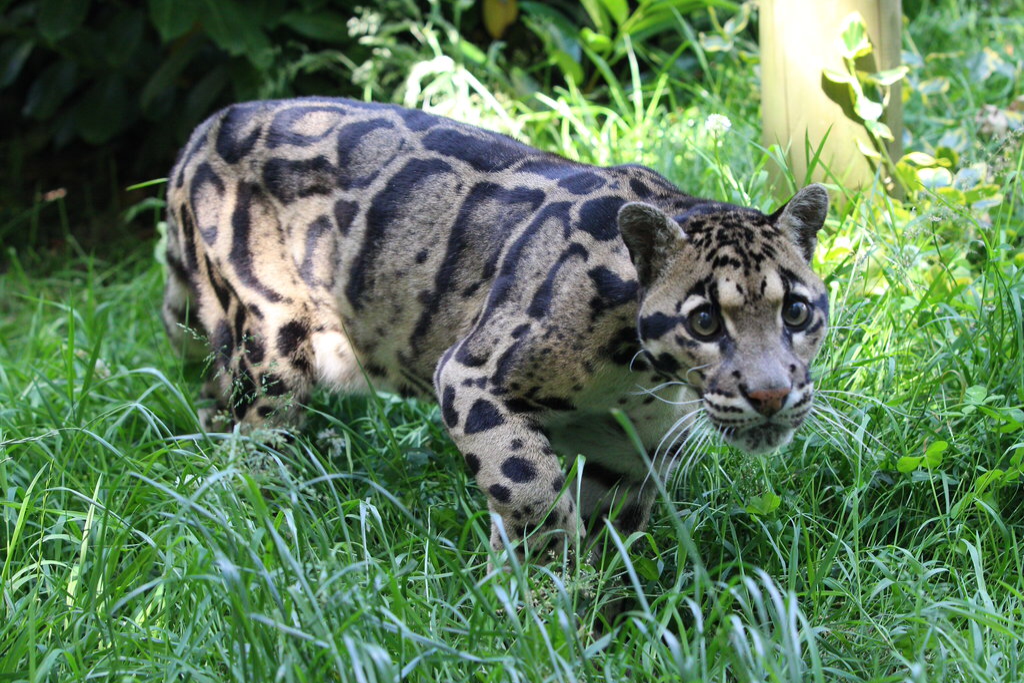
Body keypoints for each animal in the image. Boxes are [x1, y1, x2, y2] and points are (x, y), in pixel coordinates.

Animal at [161, 97, 831, 557]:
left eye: (796, 312)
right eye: (705, 320)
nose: (770, 394)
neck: (640, 379)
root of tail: (207, 125)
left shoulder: (630, 453)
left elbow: (610, 542)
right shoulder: (471, 376)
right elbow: (533, 496)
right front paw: (542, 609)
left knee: (211, 415)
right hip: (270, 344)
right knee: (246, 446)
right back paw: (259, 528)